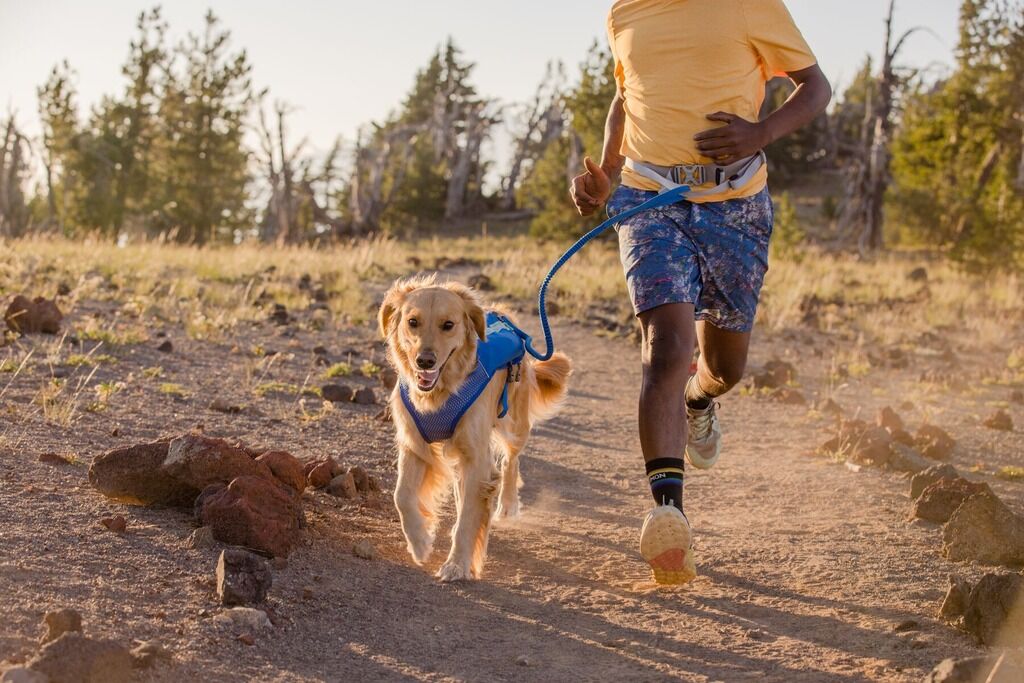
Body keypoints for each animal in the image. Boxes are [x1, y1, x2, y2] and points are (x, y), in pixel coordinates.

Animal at [380, 274, 573, 581]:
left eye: (448, 325)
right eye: (413, 322)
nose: (425, 361)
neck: (441, 392)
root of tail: (503, 315)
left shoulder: (476, 458)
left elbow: (468, 518)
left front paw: (457, 564)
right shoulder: (415, 443)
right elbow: (402, 496)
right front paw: (420, 542)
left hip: (515, 424)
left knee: (511, 461)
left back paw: (508, 504)